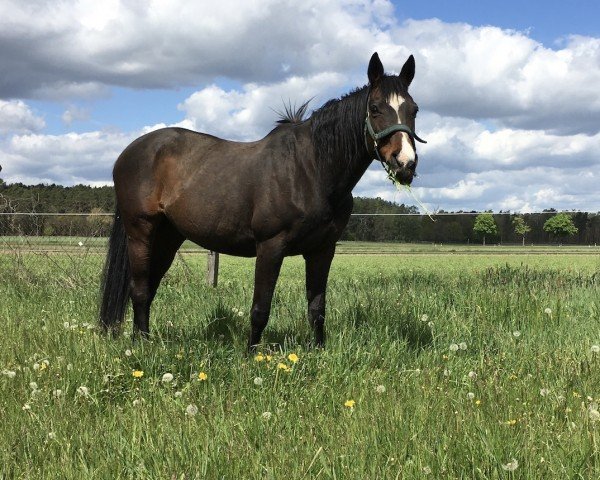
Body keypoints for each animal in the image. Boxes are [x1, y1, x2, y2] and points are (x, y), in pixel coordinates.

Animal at [98, 53, 424, 348]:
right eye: (375, 108)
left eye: (414, 109)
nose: (405, 164)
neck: (310, 170)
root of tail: (129, 153)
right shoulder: (270, 247)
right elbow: (260, 309)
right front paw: (251, 356)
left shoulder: (322, 250)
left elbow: (317, 308)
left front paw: (318, 351)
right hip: (141, 231)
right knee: (139, 289)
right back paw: (141, 347)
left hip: (168, 236)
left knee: (149, 287)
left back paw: (145, 341)